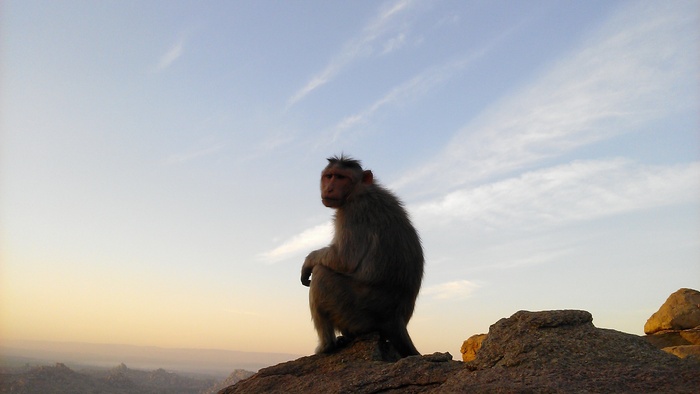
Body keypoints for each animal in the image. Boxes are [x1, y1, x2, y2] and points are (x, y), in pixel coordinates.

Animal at [300, 154, 424, 358]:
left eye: (341, 177)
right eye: (329, 176)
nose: (329, 188)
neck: (358, 191)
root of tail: (395, 319)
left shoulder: (353, 211)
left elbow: (343, 259)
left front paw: (308, 262)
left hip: (356, 311)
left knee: (321, 276)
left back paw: (327, 346)